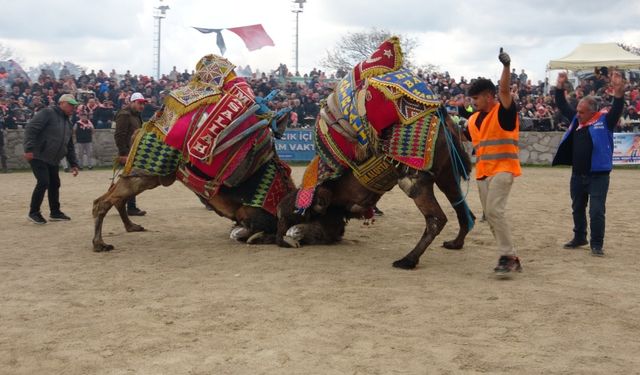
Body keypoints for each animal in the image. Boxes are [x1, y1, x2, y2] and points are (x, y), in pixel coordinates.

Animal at [91, 55, 296, 253]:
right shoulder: (250, 213)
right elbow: (254, 231)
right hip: (147, 173)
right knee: (103, 202)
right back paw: (100, 243)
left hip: (146, 174)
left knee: (110, 198)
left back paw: (130, 227)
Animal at [276, 36, 476, 268]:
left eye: (295, 216)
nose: (279, 237)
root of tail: (443, 118)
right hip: (447, 174)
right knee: (462, 209)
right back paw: (454, 243)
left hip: (417, 177)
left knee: (436, 218)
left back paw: (407, 260)